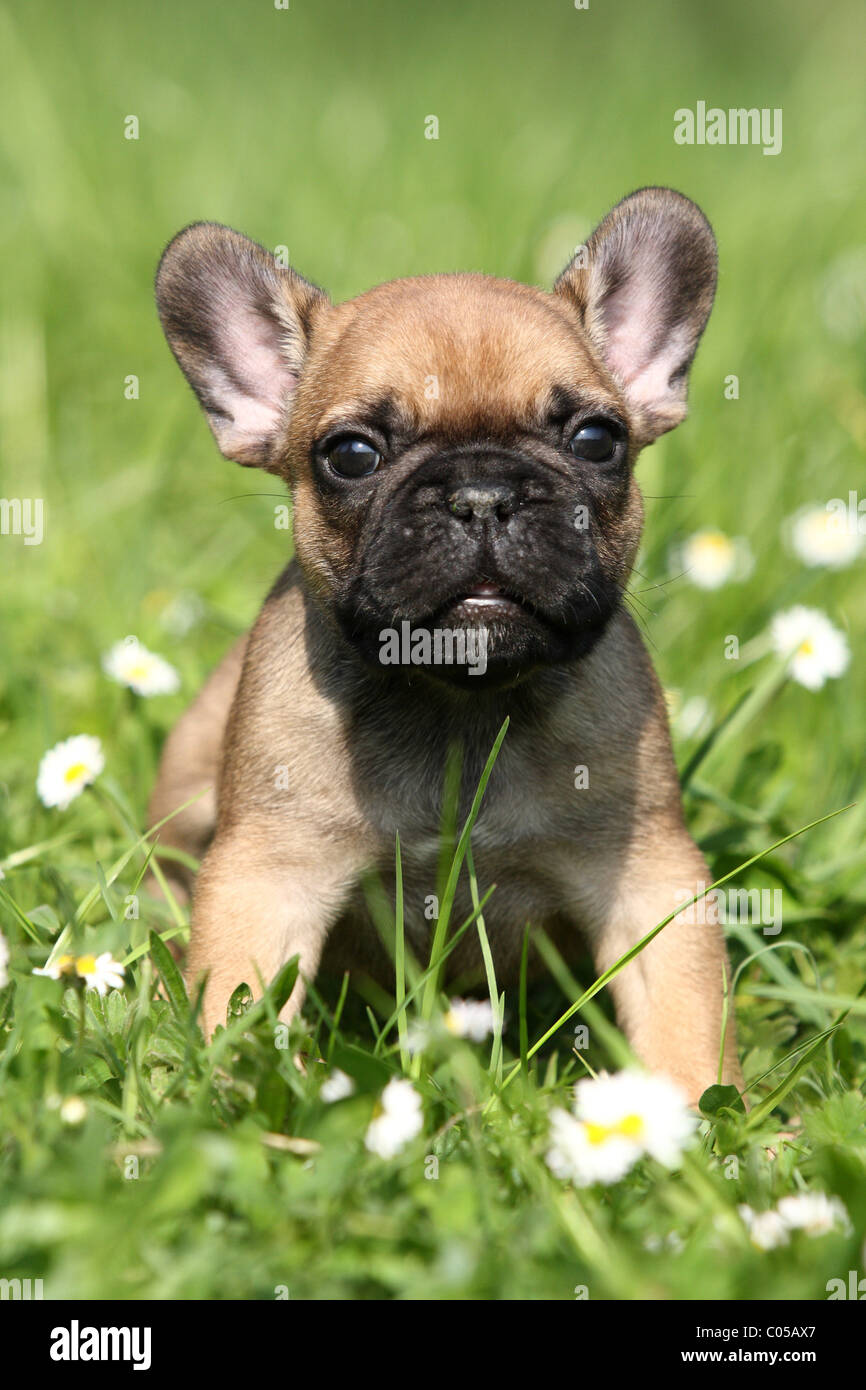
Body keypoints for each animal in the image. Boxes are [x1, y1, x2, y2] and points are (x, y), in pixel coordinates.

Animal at [147, 187, 739, 1095]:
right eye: (352, 455)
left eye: (596, 439)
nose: (483, 493)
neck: (461, 700)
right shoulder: (267, 880)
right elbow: (236, 1007)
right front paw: (238, 1100)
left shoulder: (651, 881)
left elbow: (686, 1027)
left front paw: (712, 1121)